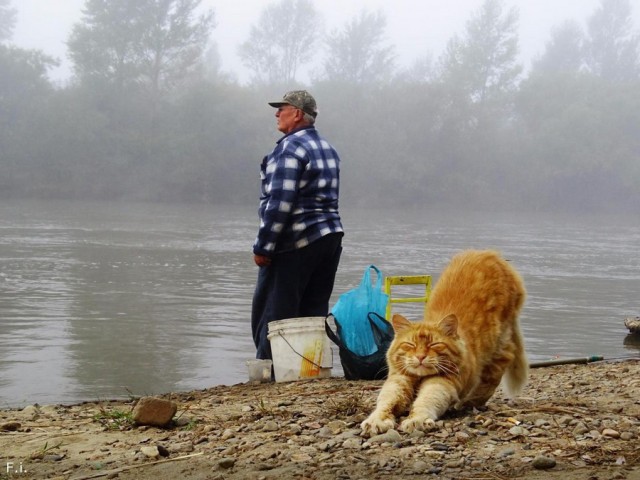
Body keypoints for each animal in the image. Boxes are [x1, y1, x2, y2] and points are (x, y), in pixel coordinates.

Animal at [362, 249, 528, 436]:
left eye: (434, 345)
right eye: (411, 345)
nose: (420, 357)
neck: (420, 376)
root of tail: (492, 254)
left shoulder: (442, 383)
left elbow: (425, 401)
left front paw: (416, 420)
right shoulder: (398, 380)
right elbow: (385, 402)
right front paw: (375, 421)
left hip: (498, 344)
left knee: (499, 367)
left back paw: (468, 402)